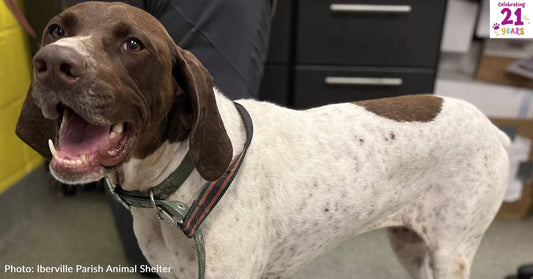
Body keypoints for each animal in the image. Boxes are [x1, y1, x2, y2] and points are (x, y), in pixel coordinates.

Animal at [15, 2, 508, 279]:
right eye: (56, 29)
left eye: (134, 44)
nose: (52, 63)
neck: (178, 186)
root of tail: (492, 127)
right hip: (410, 243)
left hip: (450, 252)